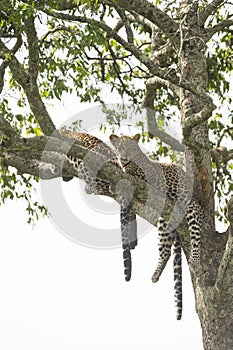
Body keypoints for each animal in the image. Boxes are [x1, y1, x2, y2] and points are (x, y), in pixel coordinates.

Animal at [110, 133, 203, 320]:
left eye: (130, 147)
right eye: (120, 147)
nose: (124, 156)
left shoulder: (141, 176)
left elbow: (127, 172)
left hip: (190, 207)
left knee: (193, 236)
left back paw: (194, 262)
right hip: (164, 218)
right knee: (165, 250)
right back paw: (156, 274)